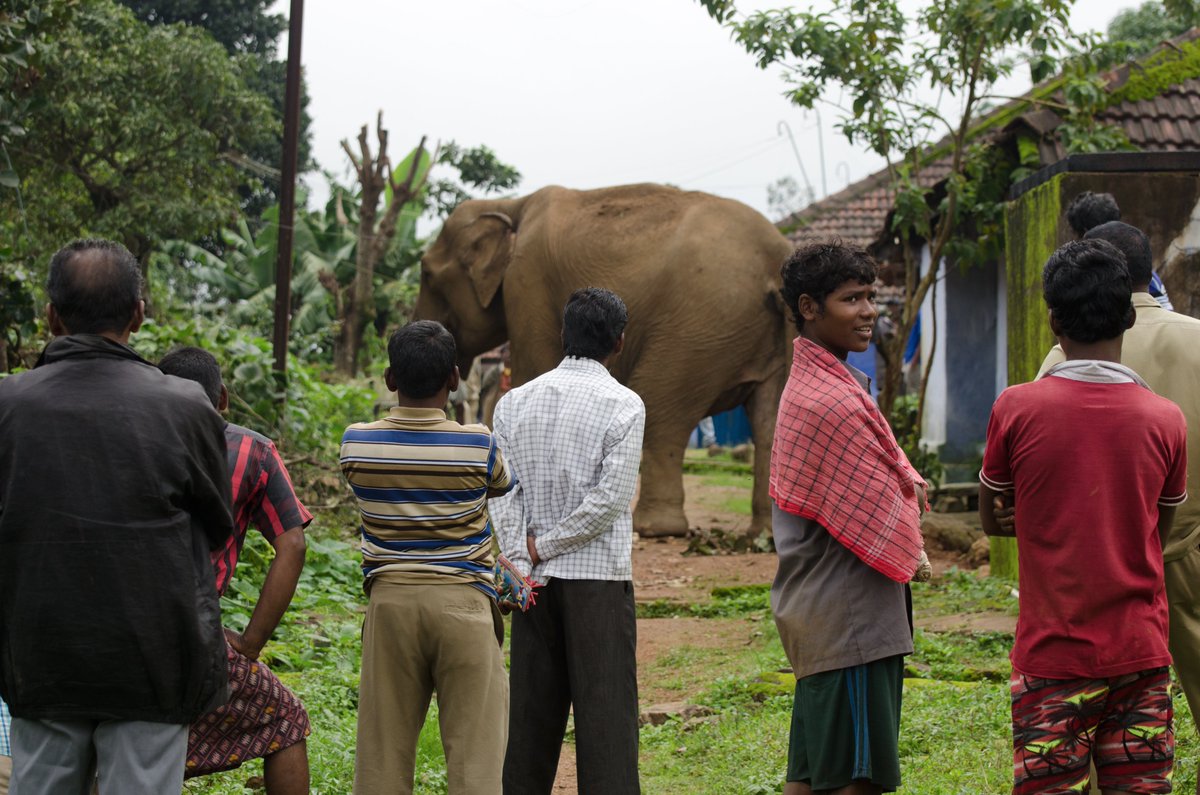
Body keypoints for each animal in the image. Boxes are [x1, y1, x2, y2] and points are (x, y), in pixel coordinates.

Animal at [412, 183, 796, 538]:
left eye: (427, 273)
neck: (511, 204)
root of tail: (776, 257)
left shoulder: (526, 282)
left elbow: (534, 370)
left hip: (697, 328)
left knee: (661, 408)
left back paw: (656, 529)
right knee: (768, 419)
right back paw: (763, 534)